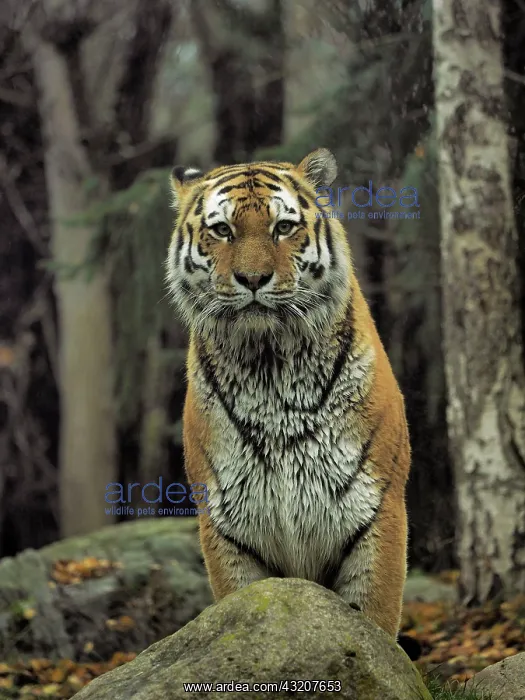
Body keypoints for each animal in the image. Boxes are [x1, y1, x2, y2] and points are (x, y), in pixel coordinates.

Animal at [166, 148, 411, 638]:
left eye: (283, 226)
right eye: (222, 230)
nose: (253, 278)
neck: (270, 365)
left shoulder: (379, 509)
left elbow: (372, 623)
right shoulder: (227, 524)